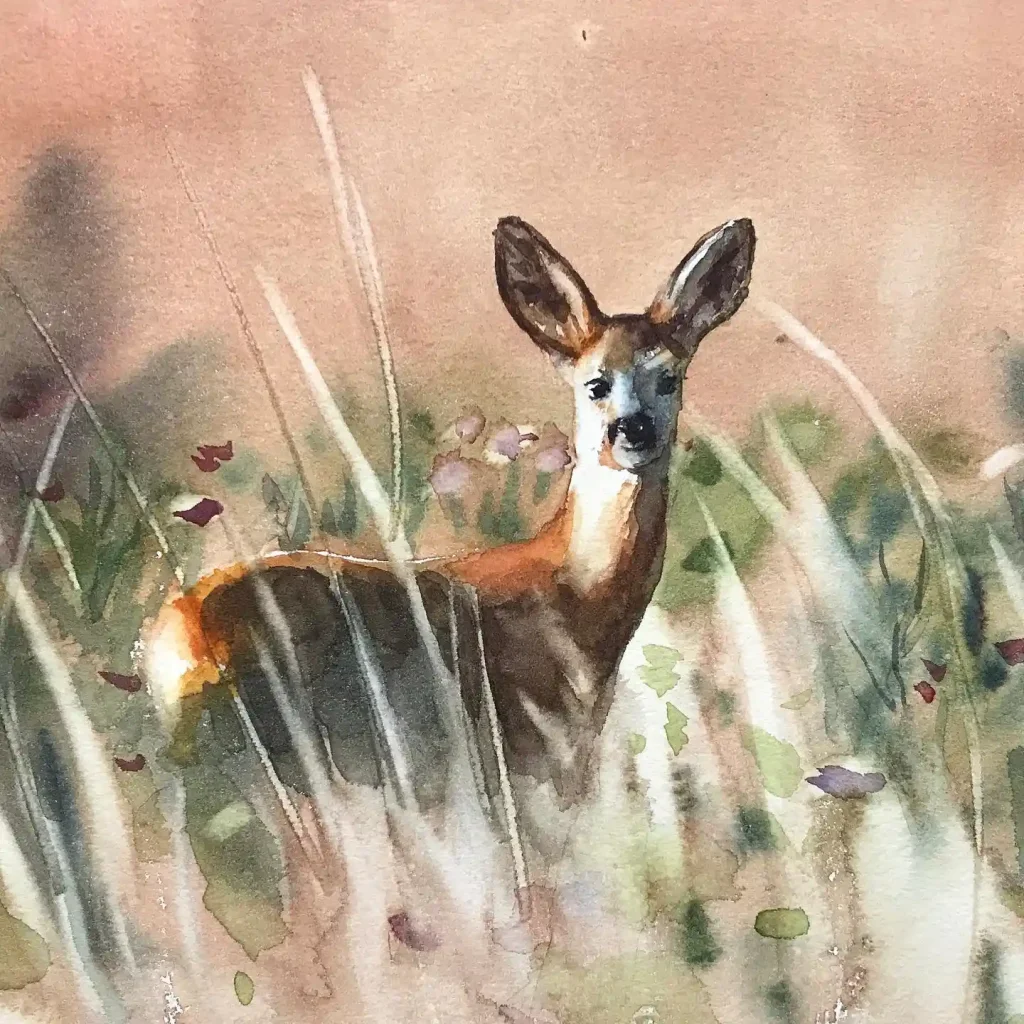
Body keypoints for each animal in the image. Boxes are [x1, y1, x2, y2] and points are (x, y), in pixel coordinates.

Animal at [138, 215, 755, 836]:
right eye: (595, 383)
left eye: (670, 378)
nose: (634, 431)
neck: (570, 594)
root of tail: (172, 650)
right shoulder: (524, 757)